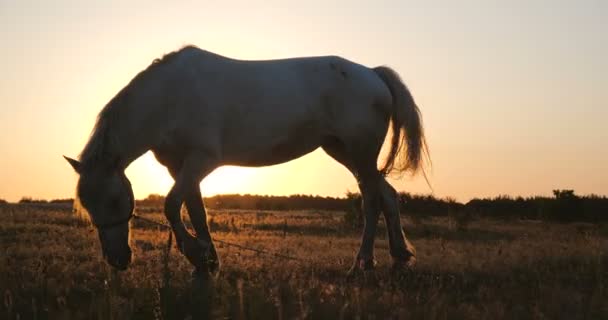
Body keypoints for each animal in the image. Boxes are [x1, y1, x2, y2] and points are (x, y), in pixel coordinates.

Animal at [63, 45, 428, 276]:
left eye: (115, 201)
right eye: (88, 206)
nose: (117, 260)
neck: (168, 99)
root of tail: (373, 74)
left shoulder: (201, 160)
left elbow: (171, 206)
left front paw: (196, 253)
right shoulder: (181, 166)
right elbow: (196, 210)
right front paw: (208, 261)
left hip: (359, 153)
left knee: (371, 201)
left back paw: (361, 264)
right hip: (344, 151)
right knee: (386, 195)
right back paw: (399, 257)